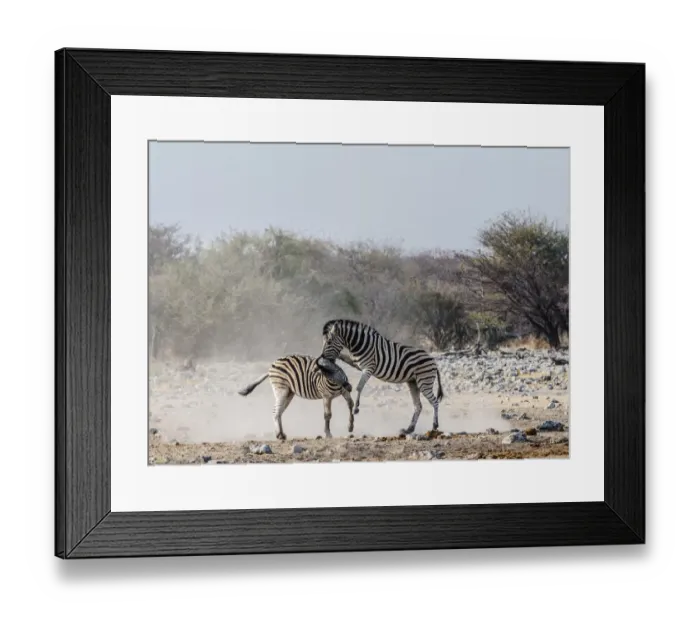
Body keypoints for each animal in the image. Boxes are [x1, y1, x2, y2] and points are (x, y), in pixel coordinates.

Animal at [317, 319, 450, 436]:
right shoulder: (357, 365)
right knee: (418, 406)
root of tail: (433, 360)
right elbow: (344, 357)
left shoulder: (368, 368)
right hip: (413, 383)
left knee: (435, 402)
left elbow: (359, 387)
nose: (323, 357)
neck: (360, 344)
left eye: (329, 342)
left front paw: (356, 408)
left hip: (424, 382)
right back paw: (409, 429)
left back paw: (435, 425)